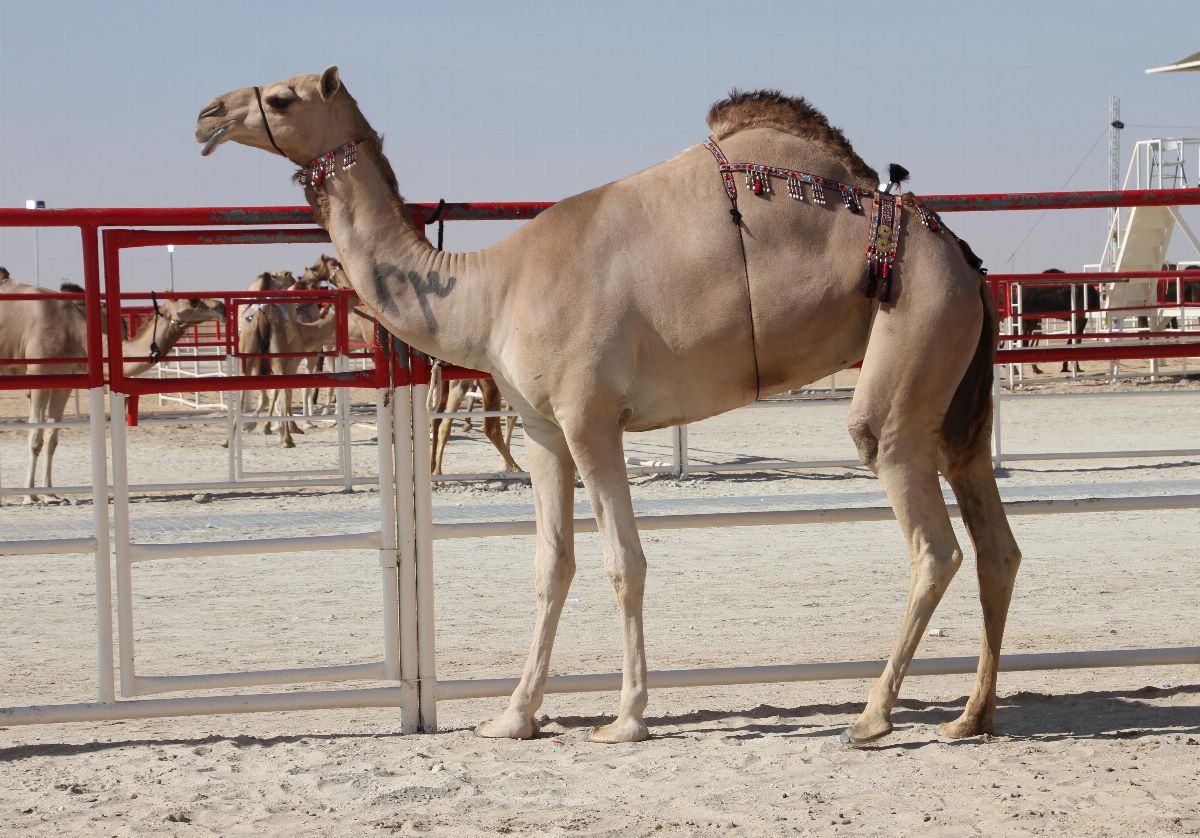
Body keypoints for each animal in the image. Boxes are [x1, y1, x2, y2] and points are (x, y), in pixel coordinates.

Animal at [0, 280, 225, 499]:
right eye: (193, 300)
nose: (221, 307)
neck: (75, 333)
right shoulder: (39, 374)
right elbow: (35, 438)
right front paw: (30, 495)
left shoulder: (65, 382)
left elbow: (51, 438)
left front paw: (51, 494)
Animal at [199, 68, 1022, 739]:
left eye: (282, 97)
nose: (208, 114)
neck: (490, 290)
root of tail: (966, 260)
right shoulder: (542, 428)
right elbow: (549, 563)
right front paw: (513, 715)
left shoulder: (590, 417)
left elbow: (623, 561)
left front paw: (626, 718)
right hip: (956, 382)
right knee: (995, 542)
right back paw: (970, 716)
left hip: (915, 326)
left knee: (927, 531)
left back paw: (874, 716)